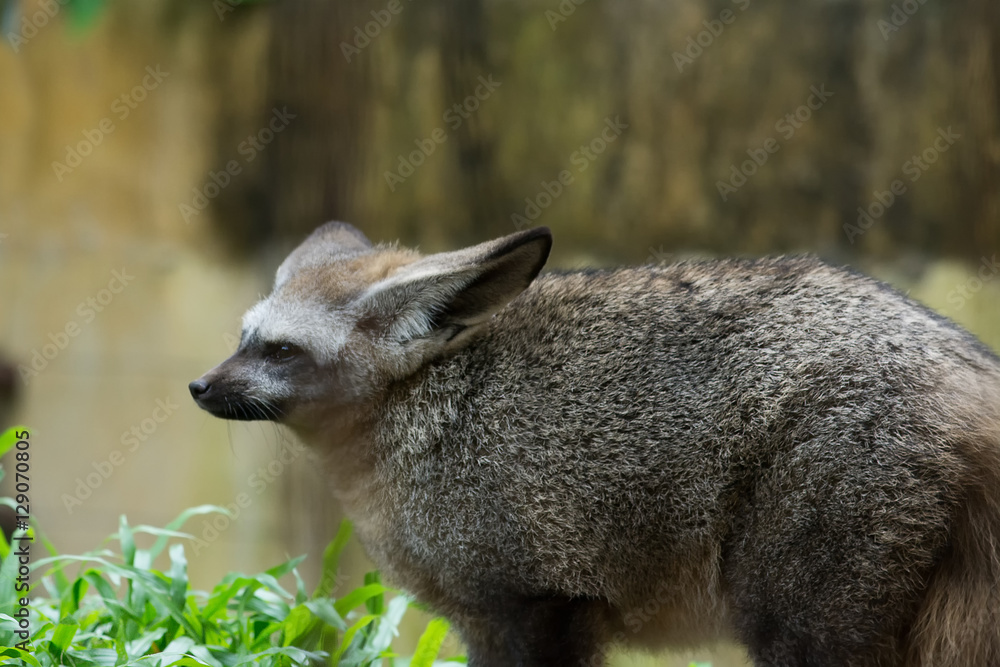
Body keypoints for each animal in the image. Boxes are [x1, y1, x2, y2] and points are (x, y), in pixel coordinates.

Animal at [191, 221, 1000, 666]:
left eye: (281, 351)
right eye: (242, 337)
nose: (198, 386)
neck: (431, 414)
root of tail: (967, 367)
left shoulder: (532, 607)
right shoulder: (498, 620)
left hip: (803, 625)